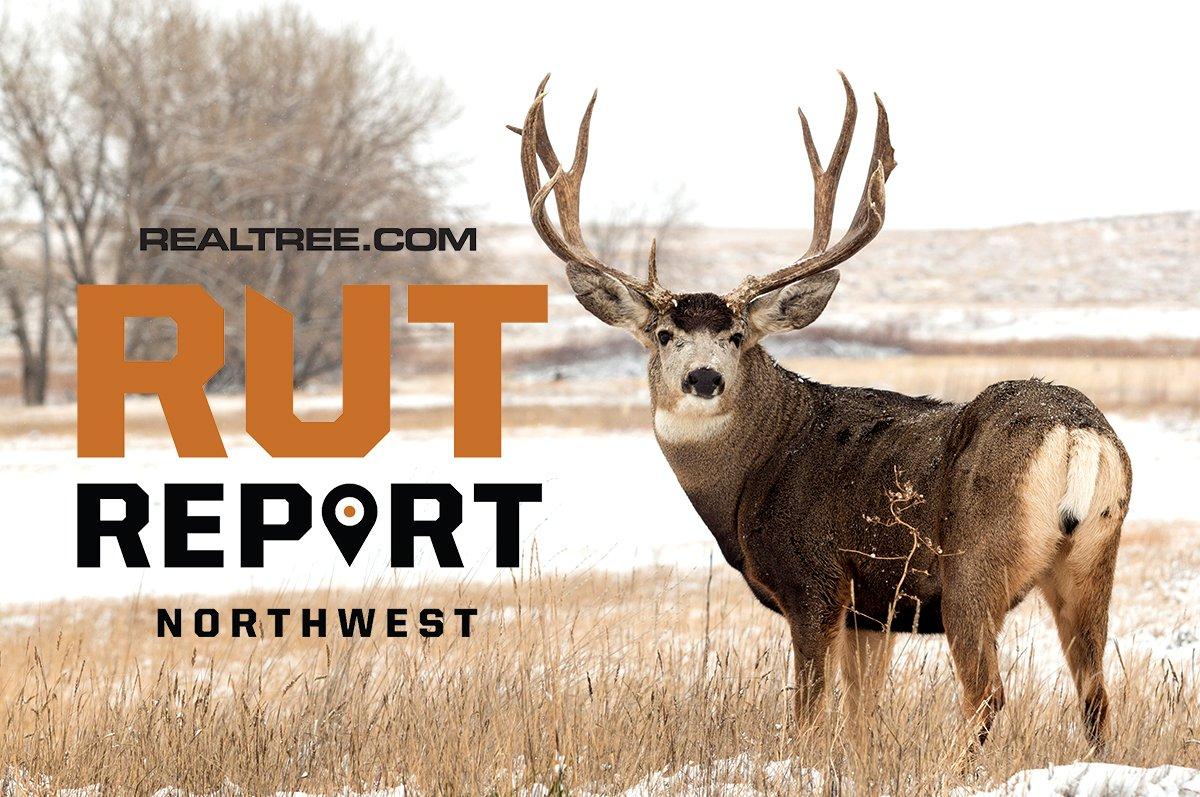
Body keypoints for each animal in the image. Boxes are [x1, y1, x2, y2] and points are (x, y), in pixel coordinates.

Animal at [508, 73, 1131, 753]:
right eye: (666, 334)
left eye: (736, 336)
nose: (703, 378)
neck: (755, 470)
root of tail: (1077, 434)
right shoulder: (872, 611)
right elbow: (862, 715)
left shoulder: (815, 585)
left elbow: (810, 712)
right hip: (1092, 556)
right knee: (1097, 696)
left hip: (973, 566)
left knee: (988, 695)